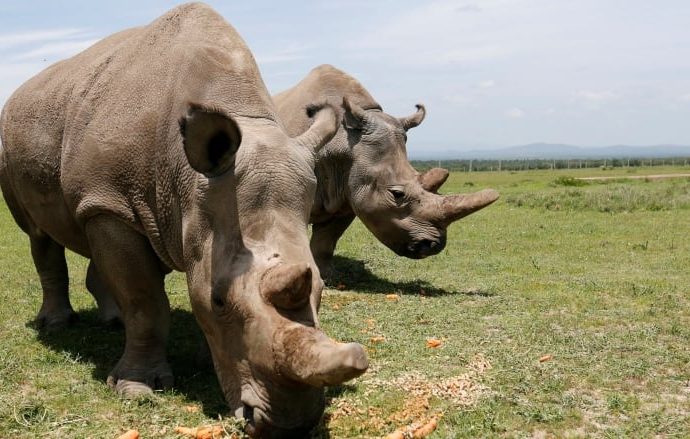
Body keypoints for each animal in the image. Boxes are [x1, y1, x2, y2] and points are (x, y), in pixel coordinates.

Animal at [0, 4, 366, 439]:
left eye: (322, 288)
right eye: (218, 300)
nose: (288, 426)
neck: (188, 180)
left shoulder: (133, 204)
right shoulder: (111, 202)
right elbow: (145, 299)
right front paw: (136, 389)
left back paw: (112, 322)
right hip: (18, 146)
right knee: (38, 234)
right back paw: (57, 326)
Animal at [272, 65, 498, 276]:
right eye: (396, 194)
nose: (433, 246)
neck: (344, 141)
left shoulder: (348, 193)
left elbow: (326, 242)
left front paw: (326, 276)